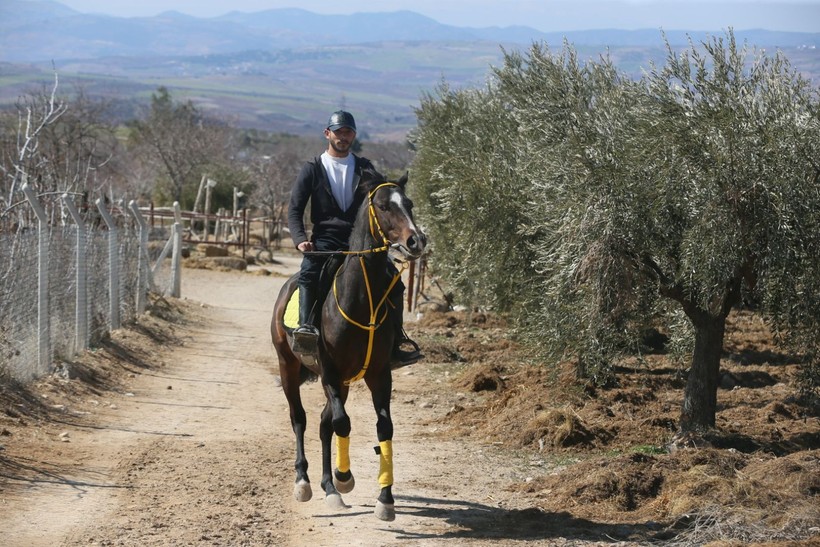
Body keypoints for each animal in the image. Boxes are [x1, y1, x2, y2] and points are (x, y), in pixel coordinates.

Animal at [270, 169, 426, 520]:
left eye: (409, 203)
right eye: (384, 206)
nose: (416, 241)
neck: (360, 300)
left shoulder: (380, 374)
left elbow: (384, 428)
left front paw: (385, 499)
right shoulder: (329, 370)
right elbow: (342, 422)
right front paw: (345, 477)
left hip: (343, 382)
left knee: (323, 423)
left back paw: (330, 489)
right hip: (289, 367)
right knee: (300, 418)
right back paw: (306, 483)